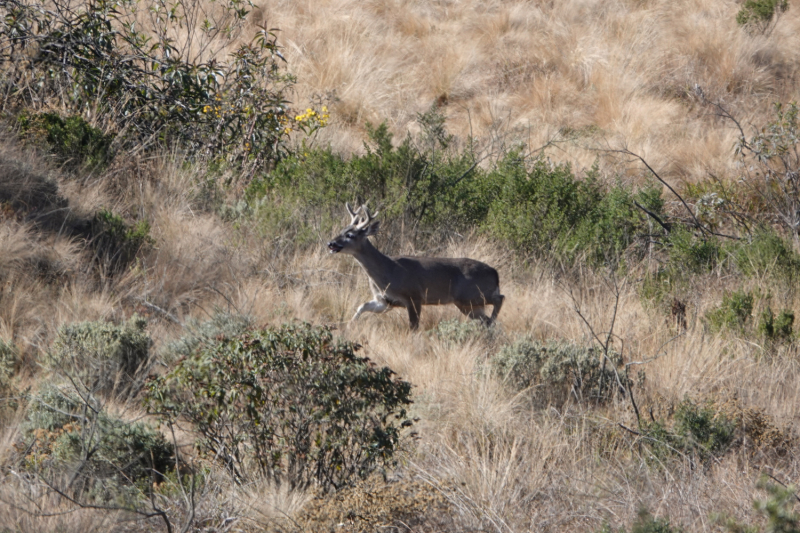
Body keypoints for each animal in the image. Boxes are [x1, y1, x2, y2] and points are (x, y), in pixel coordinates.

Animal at [326, 203, 504, 328]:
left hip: (470, 295)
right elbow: (361, 306)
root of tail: (495, 273)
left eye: (350, 235)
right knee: (485, 318)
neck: (387, 271)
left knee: (500, 299)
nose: (330, 243)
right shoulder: (385, 302)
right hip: (469, 305)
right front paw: (349, 325)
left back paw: (493, 321)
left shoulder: (414, 296)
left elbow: (413, 326)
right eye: (342, 230)